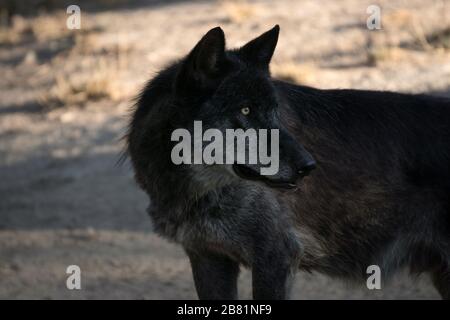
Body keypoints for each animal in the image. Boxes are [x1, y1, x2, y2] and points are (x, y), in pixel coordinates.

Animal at [126, 25, 450, 300]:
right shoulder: (208, 257)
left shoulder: (276, 257)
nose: (309, 166)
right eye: (245, 110)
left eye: (275, 110)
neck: (198, 191)